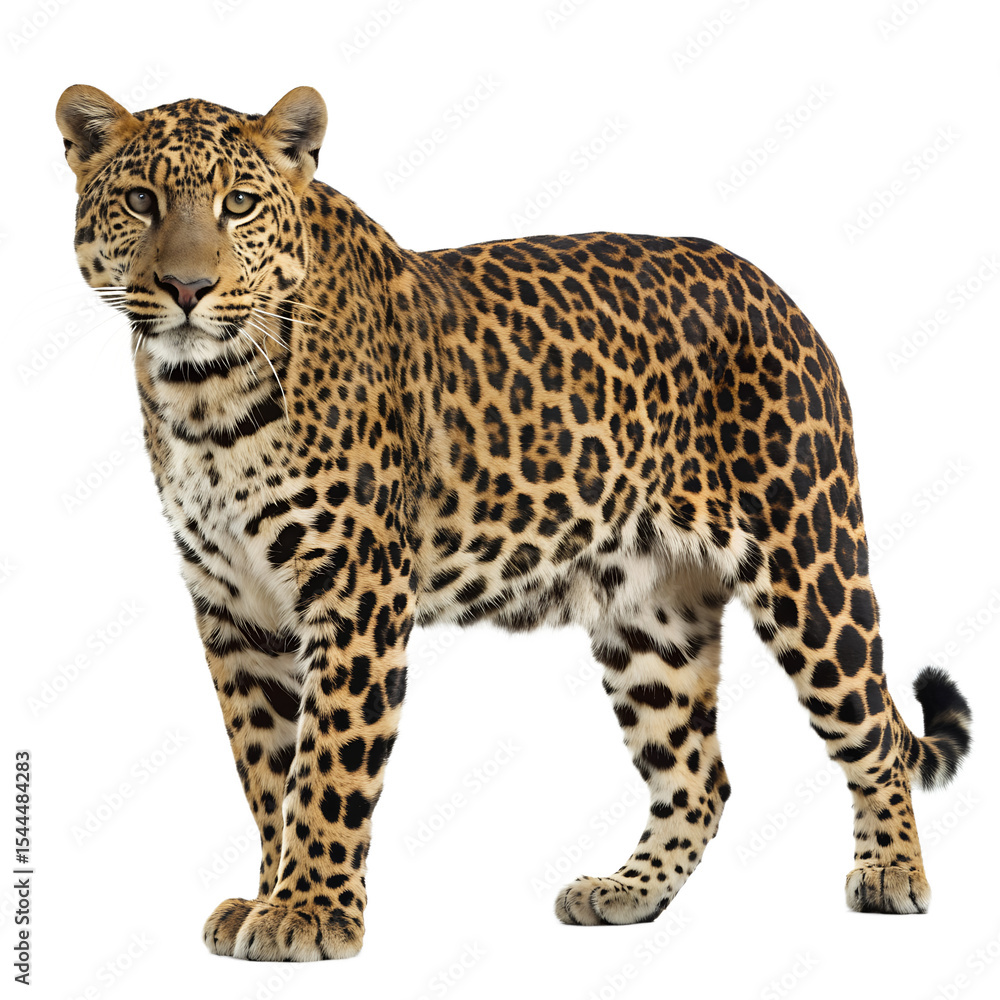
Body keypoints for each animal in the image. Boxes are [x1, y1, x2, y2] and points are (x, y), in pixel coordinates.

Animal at [56, 84, 972, 961]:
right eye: (139, 200)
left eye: (239, 204)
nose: (187, 290)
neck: (202, 397)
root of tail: (777, 291)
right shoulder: (235, 608)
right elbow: (266, 771)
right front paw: (268, 896)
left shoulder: (354, 591)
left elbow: (326, 769)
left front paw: (309, 914)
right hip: (651, 616)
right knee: (699, 778)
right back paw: (626, 891)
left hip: (810, 566)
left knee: (872, 732)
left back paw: (891, 873)